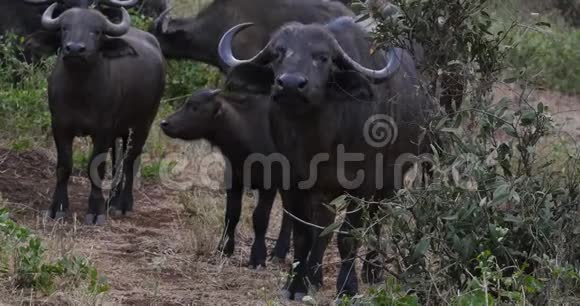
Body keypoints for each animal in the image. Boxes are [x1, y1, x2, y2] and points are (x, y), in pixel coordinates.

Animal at [40, 2, 165, 225]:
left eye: (96, 31)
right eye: (64, 28)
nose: (75, 49)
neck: (79, 92)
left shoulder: (103, 130)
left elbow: (96, 167)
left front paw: (95, 211)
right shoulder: (60, 126)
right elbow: (64, 166)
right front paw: (57, 208)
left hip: (143, 124)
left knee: (130, 161)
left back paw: (123, 205)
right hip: (120, 129)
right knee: (117, 161)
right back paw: (112, 200)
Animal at [160, 86, 294, 268]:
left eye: (195, 106)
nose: (164, 123)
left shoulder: (269, 184)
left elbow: (260, 218)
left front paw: (257, 257)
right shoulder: (233, 180)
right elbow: (232, 213)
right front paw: (224, 248)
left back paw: (279, 251)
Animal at [220, 16, 432, 298]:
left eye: (323, 57)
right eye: (278, 53)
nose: (290, 84)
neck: (319, 141)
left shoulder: (364, 184)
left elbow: (348, 236)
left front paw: (347, 286)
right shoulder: (293, 184)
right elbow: (305, 235)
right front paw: (297, 284)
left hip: (394, 177)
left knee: (378, 218)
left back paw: (372, 269)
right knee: (324, 228)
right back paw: (316, 275)